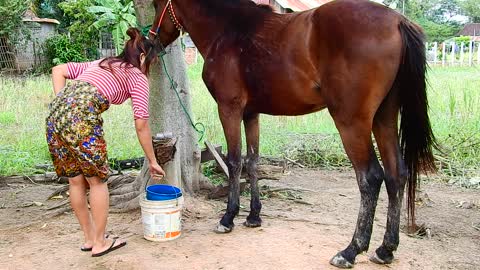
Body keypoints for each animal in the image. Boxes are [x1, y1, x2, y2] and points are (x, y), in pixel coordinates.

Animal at [149, 0, 436, 266]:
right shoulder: (251, 114)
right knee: (396, 175)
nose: (150, 42)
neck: (229, 30)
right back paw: (385, 249)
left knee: (371, 178)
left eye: (156, 4)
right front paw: (254, 216)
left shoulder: (229, 109)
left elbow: (234, 161)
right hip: (384, 118)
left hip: (352, 123)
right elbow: (252, 162)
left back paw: (351, 250)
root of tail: (397, 20)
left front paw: (228, 217)